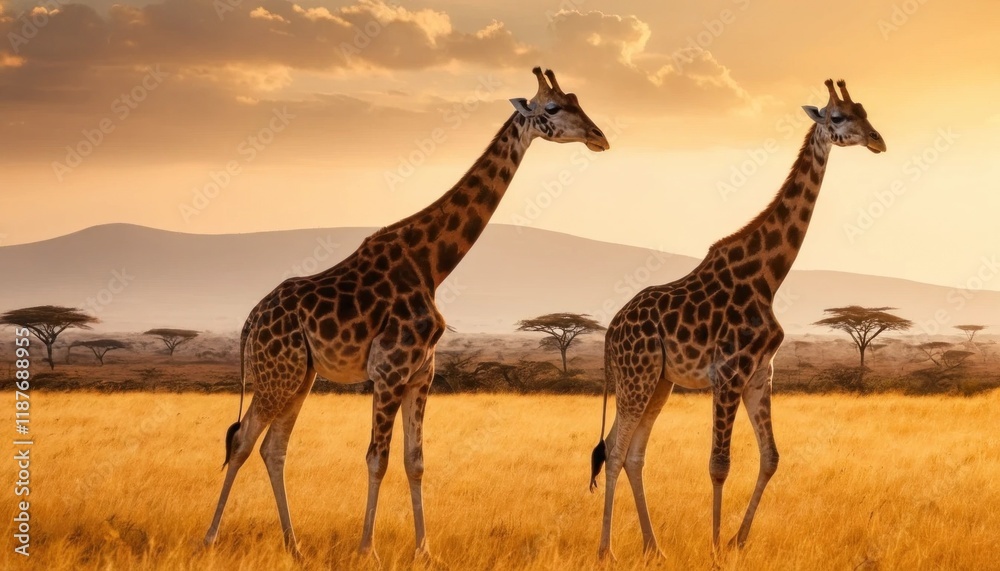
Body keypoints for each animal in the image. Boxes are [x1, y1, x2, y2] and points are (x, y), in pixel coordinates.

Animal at [203, 67, 609, 559]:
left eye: (577, 100)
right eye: (552, 107)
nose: (599, 136)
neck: (431, 264)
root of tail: (249, 322)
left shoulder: (421, 374)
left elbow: (415, 461)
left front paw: (424, 550)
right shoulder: (390, 371)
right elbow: (376, 459)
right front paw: (367, 550)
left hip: (300, 376)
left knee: (273, 448)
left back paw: (294, 547)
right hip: (276, 374)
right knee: (243, 441)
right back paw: (210, 539)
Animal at [589, 79, 885, 559]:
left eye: (865, 111)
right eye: (839, 117)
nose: (878, 140)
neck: (768, 276)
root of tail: (611, 331)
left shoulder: (759, 373)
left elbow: (771, 457)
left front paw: (736, 540)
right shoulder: (728, 372)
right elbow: (719, 464)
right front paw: (713, 547)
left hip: (659, 381)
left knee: (632, 453)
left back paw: (654, 547)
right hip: (636, 377)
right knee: (614, 450)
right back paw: (607, 551)